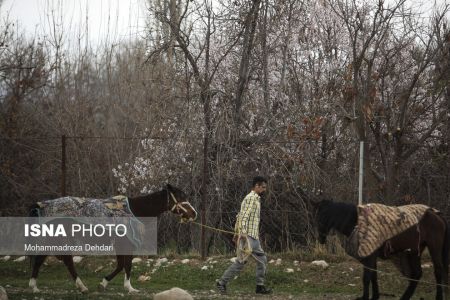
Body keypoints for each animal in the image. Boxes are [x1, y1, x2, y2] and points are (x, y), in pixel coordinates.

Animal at [28, 184, 197, 294]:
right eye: (180, 197)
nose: (194, 213)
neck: (134, 210)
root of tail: (42, 206)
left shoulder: (122, 244)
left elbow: (122, 265)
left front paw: (106, 284)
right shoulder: (126, 243)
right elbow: (126, 265)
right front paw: (129, 288)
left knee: (53, 259)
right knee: (55, 260)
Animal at [314, 199, 448, 300]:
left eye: (320, 218)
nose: (320, 239)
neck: (357, 223)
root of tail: (436, 215)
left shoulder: (369, 255)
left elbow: (367, 277)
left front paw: (365, 297)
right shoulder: (371, 255)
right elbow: (373, 276)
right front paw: (374, 296)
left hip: (433, 247)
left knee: (438, 271)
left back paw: (438, 297)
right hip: (415, 251)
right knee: (417, 274)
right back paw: (404, 297)